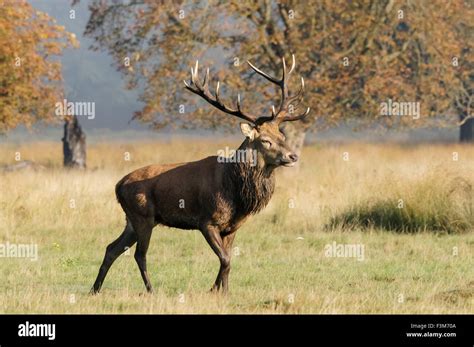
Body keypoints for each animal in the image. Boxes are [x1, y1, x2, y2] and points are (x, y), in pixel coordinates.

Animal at [90, 54, 310, 294]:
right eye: (265, 140)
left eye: (282, 135)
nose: (293, 156)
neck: (235, 192)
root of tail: (118, 186)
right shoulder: (207, 221)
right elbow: (225, 259)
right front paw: (215, 291)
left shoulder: (232, 227)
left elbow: (228, 258)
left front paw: (223, 291)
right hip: (142, 216)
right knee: (139, 254)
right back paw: (150, 290)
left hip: (132, 219)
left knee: (112, 248)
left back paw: (95, 289)